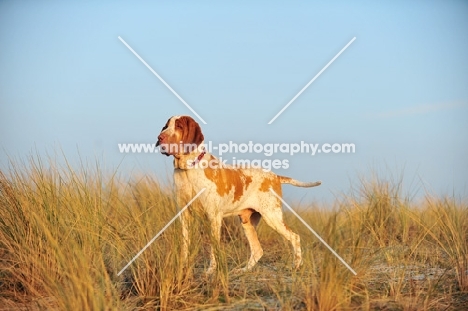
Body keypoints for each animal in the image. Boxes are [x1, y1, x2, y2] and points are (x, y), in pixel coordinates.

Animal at [155, 116, 320, 274]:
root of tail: (275, 177)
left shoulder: (214, 217)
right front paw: (182, 267)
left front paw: (210, 271)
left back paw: (296, 266)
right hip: (247, 222)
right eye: (166, 126)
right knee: (258, 250)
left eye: (179, 126)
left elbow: (213, 248)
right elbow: (185, 245)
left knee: (294, 237)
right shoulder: (184, 216)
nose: (160, 137)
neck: (188, 169)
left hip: (272, 217)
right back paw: (244, 270)